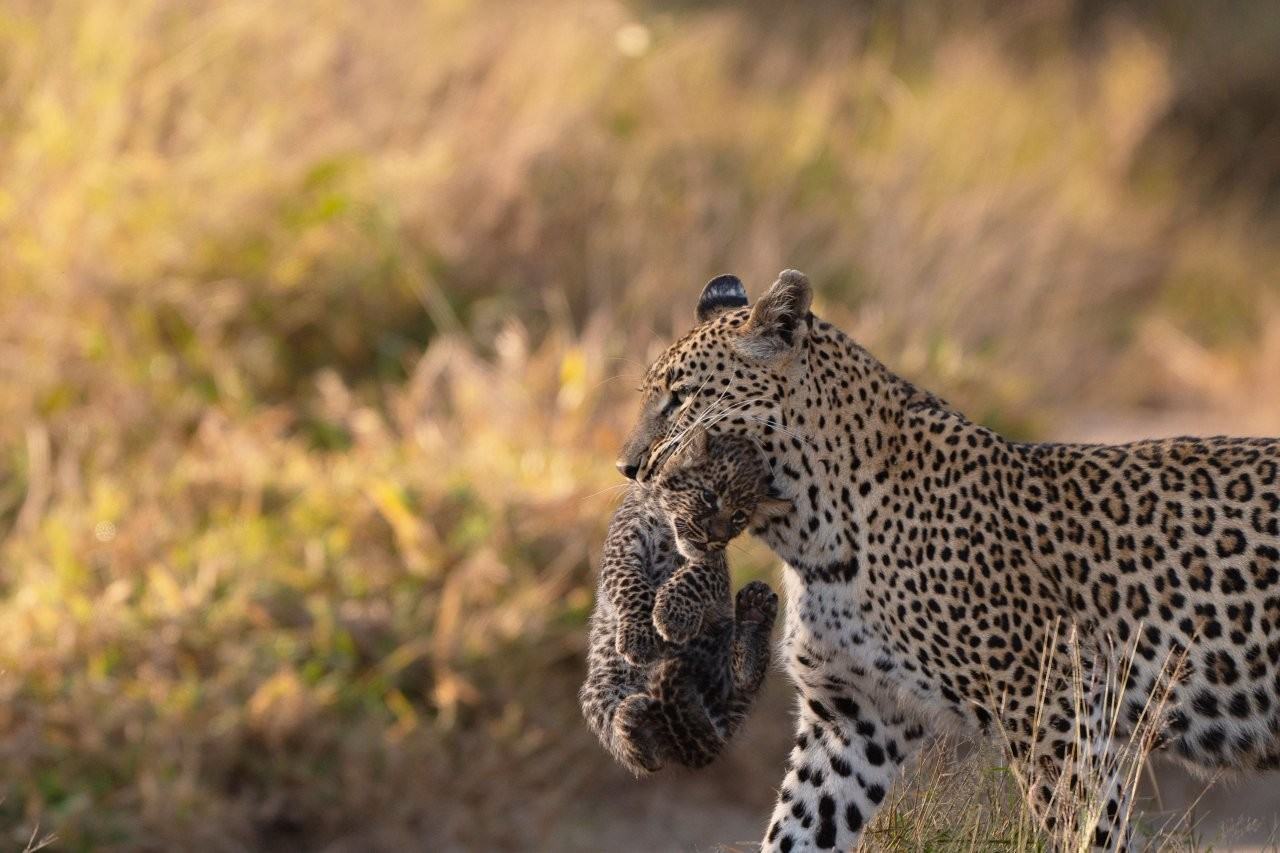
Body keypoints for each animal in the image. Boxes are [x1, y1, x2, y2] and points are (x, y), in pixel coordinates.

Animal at [580, 425, 790, 776]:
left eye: (739, 517)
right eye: (708, 496)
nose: (714, 537)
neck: (668, 530)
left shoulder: (713, 567)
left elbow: (692, 578)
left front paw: (672, 616)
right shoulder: (621, 554)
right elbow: (634, 588)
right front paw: (640, 638)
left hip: (721, 651)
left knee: (742, 684)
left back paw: (754, 613)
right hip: (599, 690)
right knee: (644, 758)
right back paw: (634, 722)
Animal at [614, 269, 1280, 852]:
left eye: (681, 398)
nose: (626, 466)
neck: (811, 534)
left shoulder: (1054, 712)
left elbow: (1091, 831)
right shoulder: (852, 718)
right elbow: (798, 828)